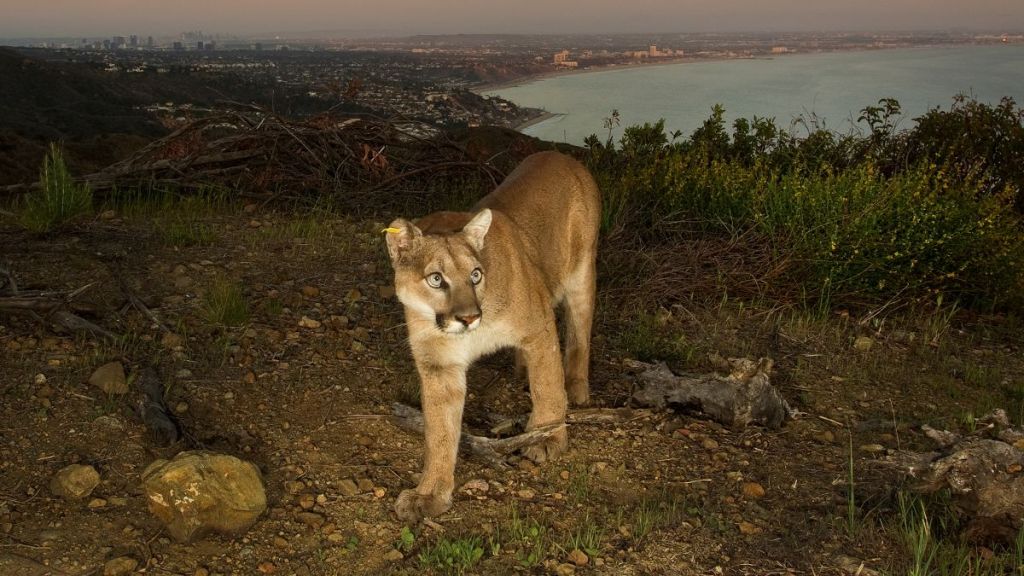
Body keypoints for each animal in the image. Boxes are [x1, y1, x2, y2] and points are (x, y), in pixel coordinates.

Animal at [387, 148, 602, 520]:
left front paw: (547, 438)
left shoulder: (538, 327)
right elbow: (440, 432)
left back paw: (575, 389)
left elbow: (548, 387)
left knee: (578, 335)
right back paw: (522, 370)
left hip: (582, 274)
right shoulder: (439, 366)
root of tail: (559, 153)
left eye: (475, 274)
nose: (469, 317)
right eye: (436, 279)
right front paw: (430, 494)